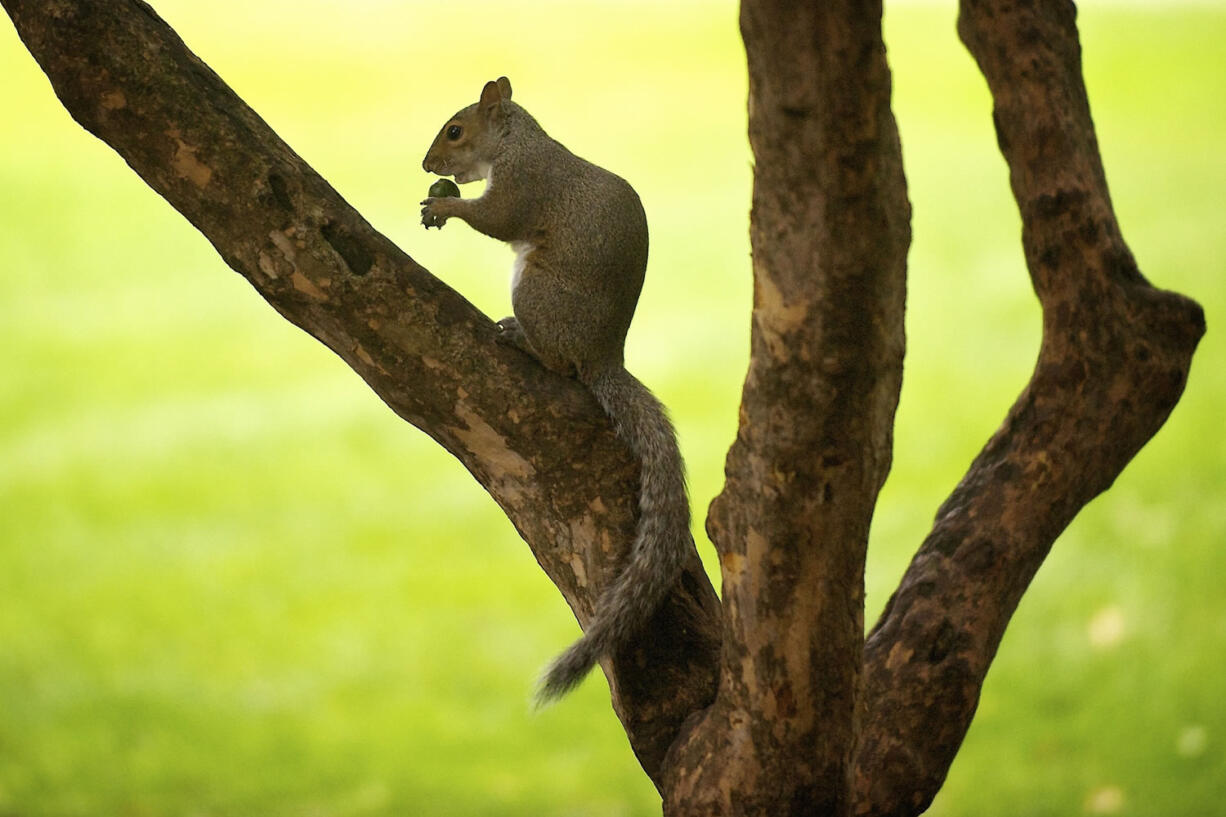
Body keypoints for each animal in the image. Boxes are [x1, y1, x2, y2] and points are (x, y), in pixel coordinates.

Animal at [419, 74, 691, 701]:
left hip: (537, 291)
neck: (516, 143)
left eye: (455, 130)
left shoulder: (524, 185)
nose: (426, 165)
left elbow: (497, 218)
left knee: (557, 362)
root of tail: (604, 357)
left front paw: (444, 204)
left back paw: (522, 339)